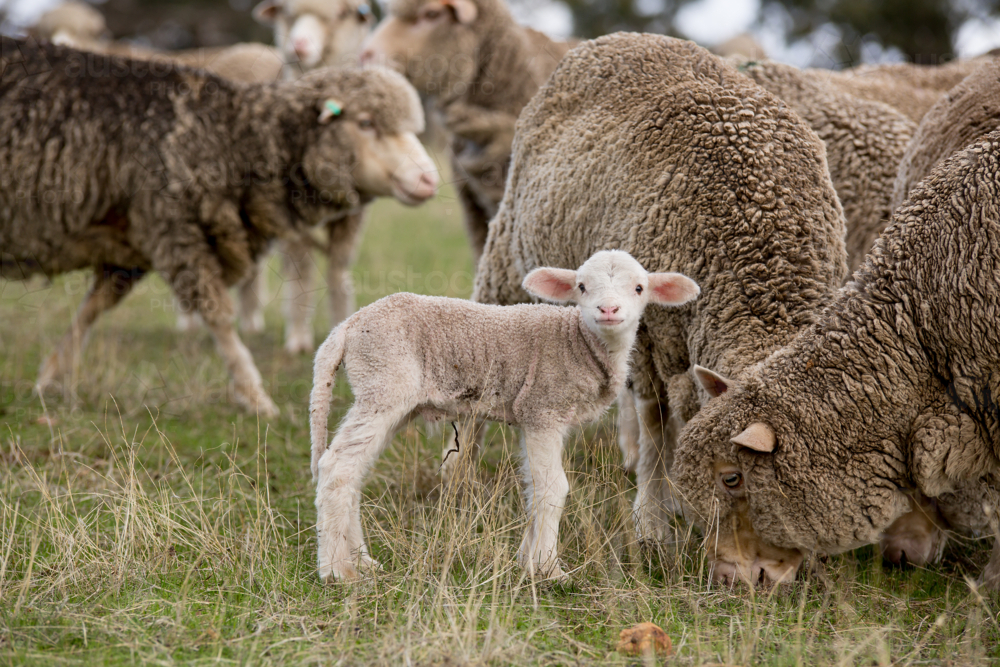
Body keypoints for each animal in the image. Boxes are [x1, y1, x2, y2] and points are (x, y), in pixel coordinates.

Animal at [0, 36, 437, 418]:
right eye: (365, 123)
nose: (429, 179)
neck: (230, 138)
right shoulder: (174, 231)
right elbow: (220, 319)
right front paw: (256, 397)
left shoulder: (133, 240)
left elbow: (92, 309)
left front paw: (49, 377)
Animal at [308, 250, 700, 581]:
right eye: (582, 287)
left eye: (639, 288)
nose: (608, 310)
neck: (578, 341)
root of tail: (347, 327)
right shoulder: (543, 408)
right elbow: (553, 486)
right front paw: (549, 570)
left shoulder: (533, 415)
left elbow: (534, 486)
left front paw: (527, 559)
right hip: (383, 382)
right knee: (337, 467)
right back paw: (336, 571)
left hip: (390, 397)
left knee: (353, 470)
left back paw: (361, 560)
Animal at [472, 33, 850, 543]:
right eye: (734, 476)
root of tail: (617, 39)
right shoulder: (652, 338)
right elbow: (657, 425)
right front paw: (652, 521)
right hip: (508, 252)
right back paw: (457, 473)